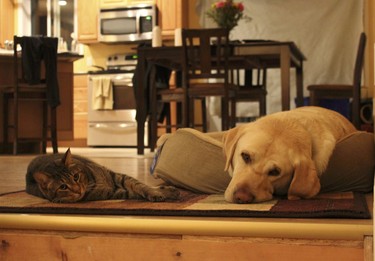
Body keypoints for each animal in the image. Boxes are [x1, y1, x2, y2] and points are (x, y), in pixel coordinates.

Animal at [25, 148, 181, 201]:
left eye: (76, 177)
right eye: (63, 187)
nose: (78, 190)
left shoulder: (117, 176)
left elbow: (140, 185)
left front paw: (159, 191)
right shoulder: (114, 193)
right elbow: (134, 192)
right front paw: (164, 193)